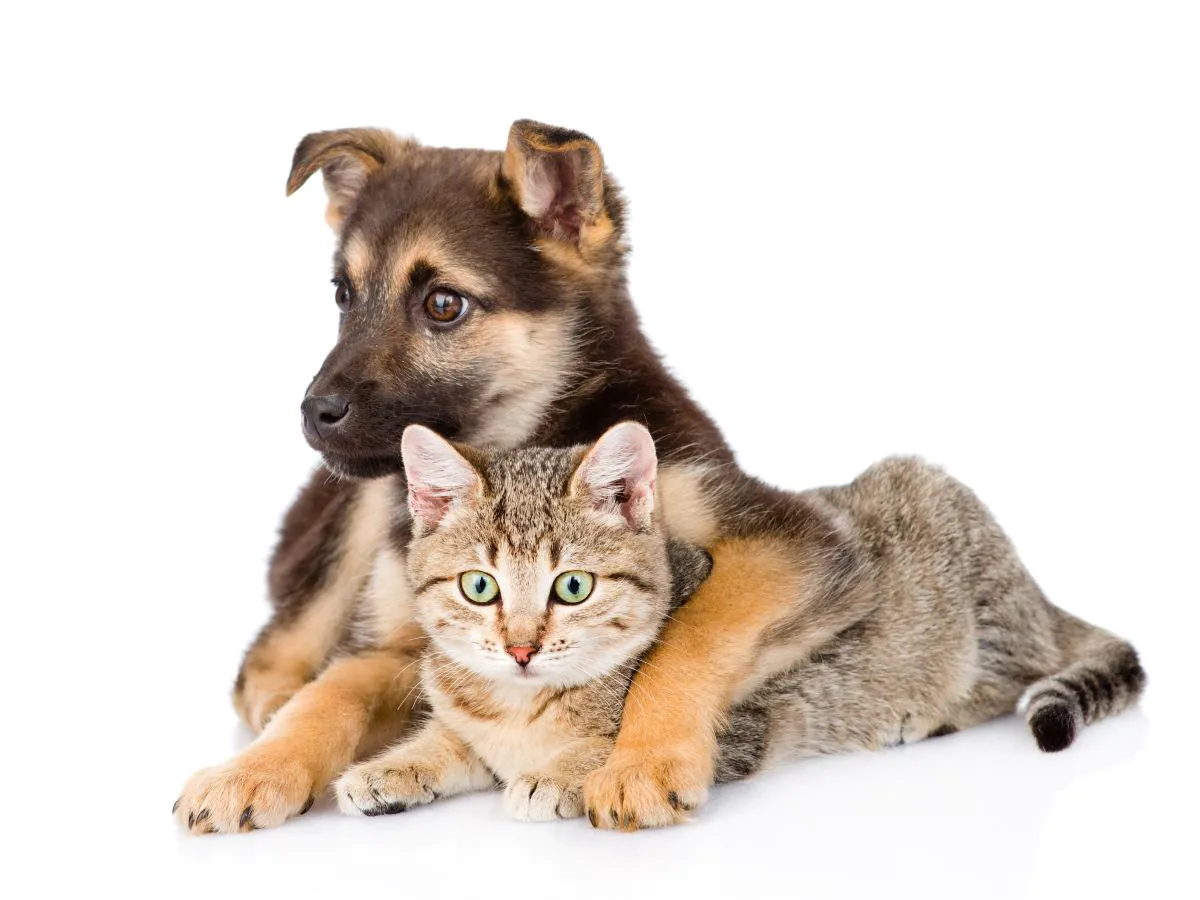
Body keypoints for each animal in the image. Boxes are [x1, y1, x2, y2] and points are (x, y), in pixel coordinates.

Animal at [333, 422, 705, 825]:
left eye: (574, 586)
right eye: (479, 586)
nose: (521, 651)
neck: (521, 706)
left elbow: (606, 746)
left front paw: (556, 774)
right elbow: (447, 739)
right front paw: (389, 768)